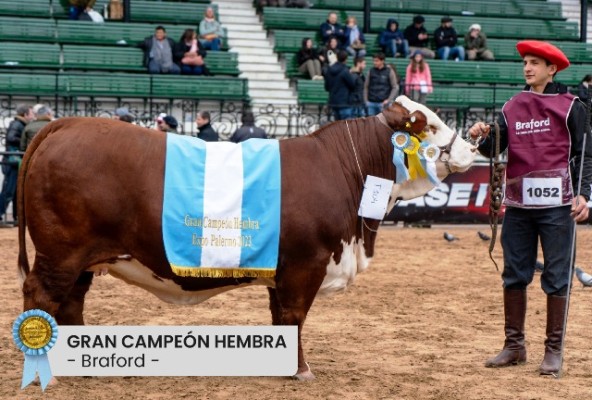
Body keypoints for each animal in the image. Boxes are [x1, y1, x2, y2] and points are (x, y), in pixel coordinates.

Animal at [16, 95, 474, 380]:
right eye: (430, 124)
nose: (473, 144)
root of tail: (66, 123)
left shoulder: (282, 268)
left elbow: (281, 320)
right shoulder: (306, 264)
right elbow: (294, 317)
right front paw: (300, 371)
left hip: (84, 259)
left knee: (71, 303)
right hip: (60, 253)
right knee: (42, 295)